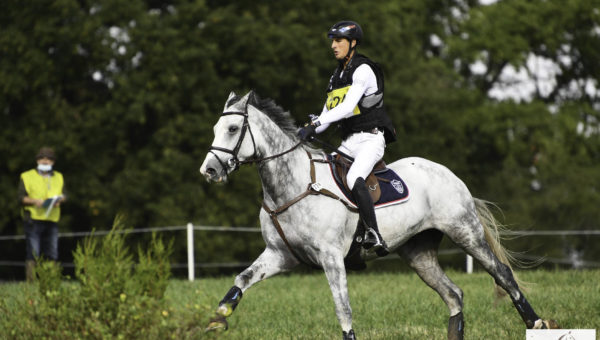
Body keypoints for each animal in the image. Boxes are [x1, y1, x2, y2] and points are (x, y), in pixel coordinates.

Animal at [199, 91, 556, 340]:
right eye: (215, 128)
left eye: (233, 128)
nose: (209, 170)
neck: (292, 186)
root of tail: (449, 174)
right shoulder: (280, 255)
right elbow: (241, 280)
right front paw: (217, 319)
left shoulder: (331, 258)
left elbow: (343, 309)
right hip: (417, 252)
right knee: (453, 294)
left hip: (464, 232)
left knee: (502, 274)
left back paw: (537, 322)